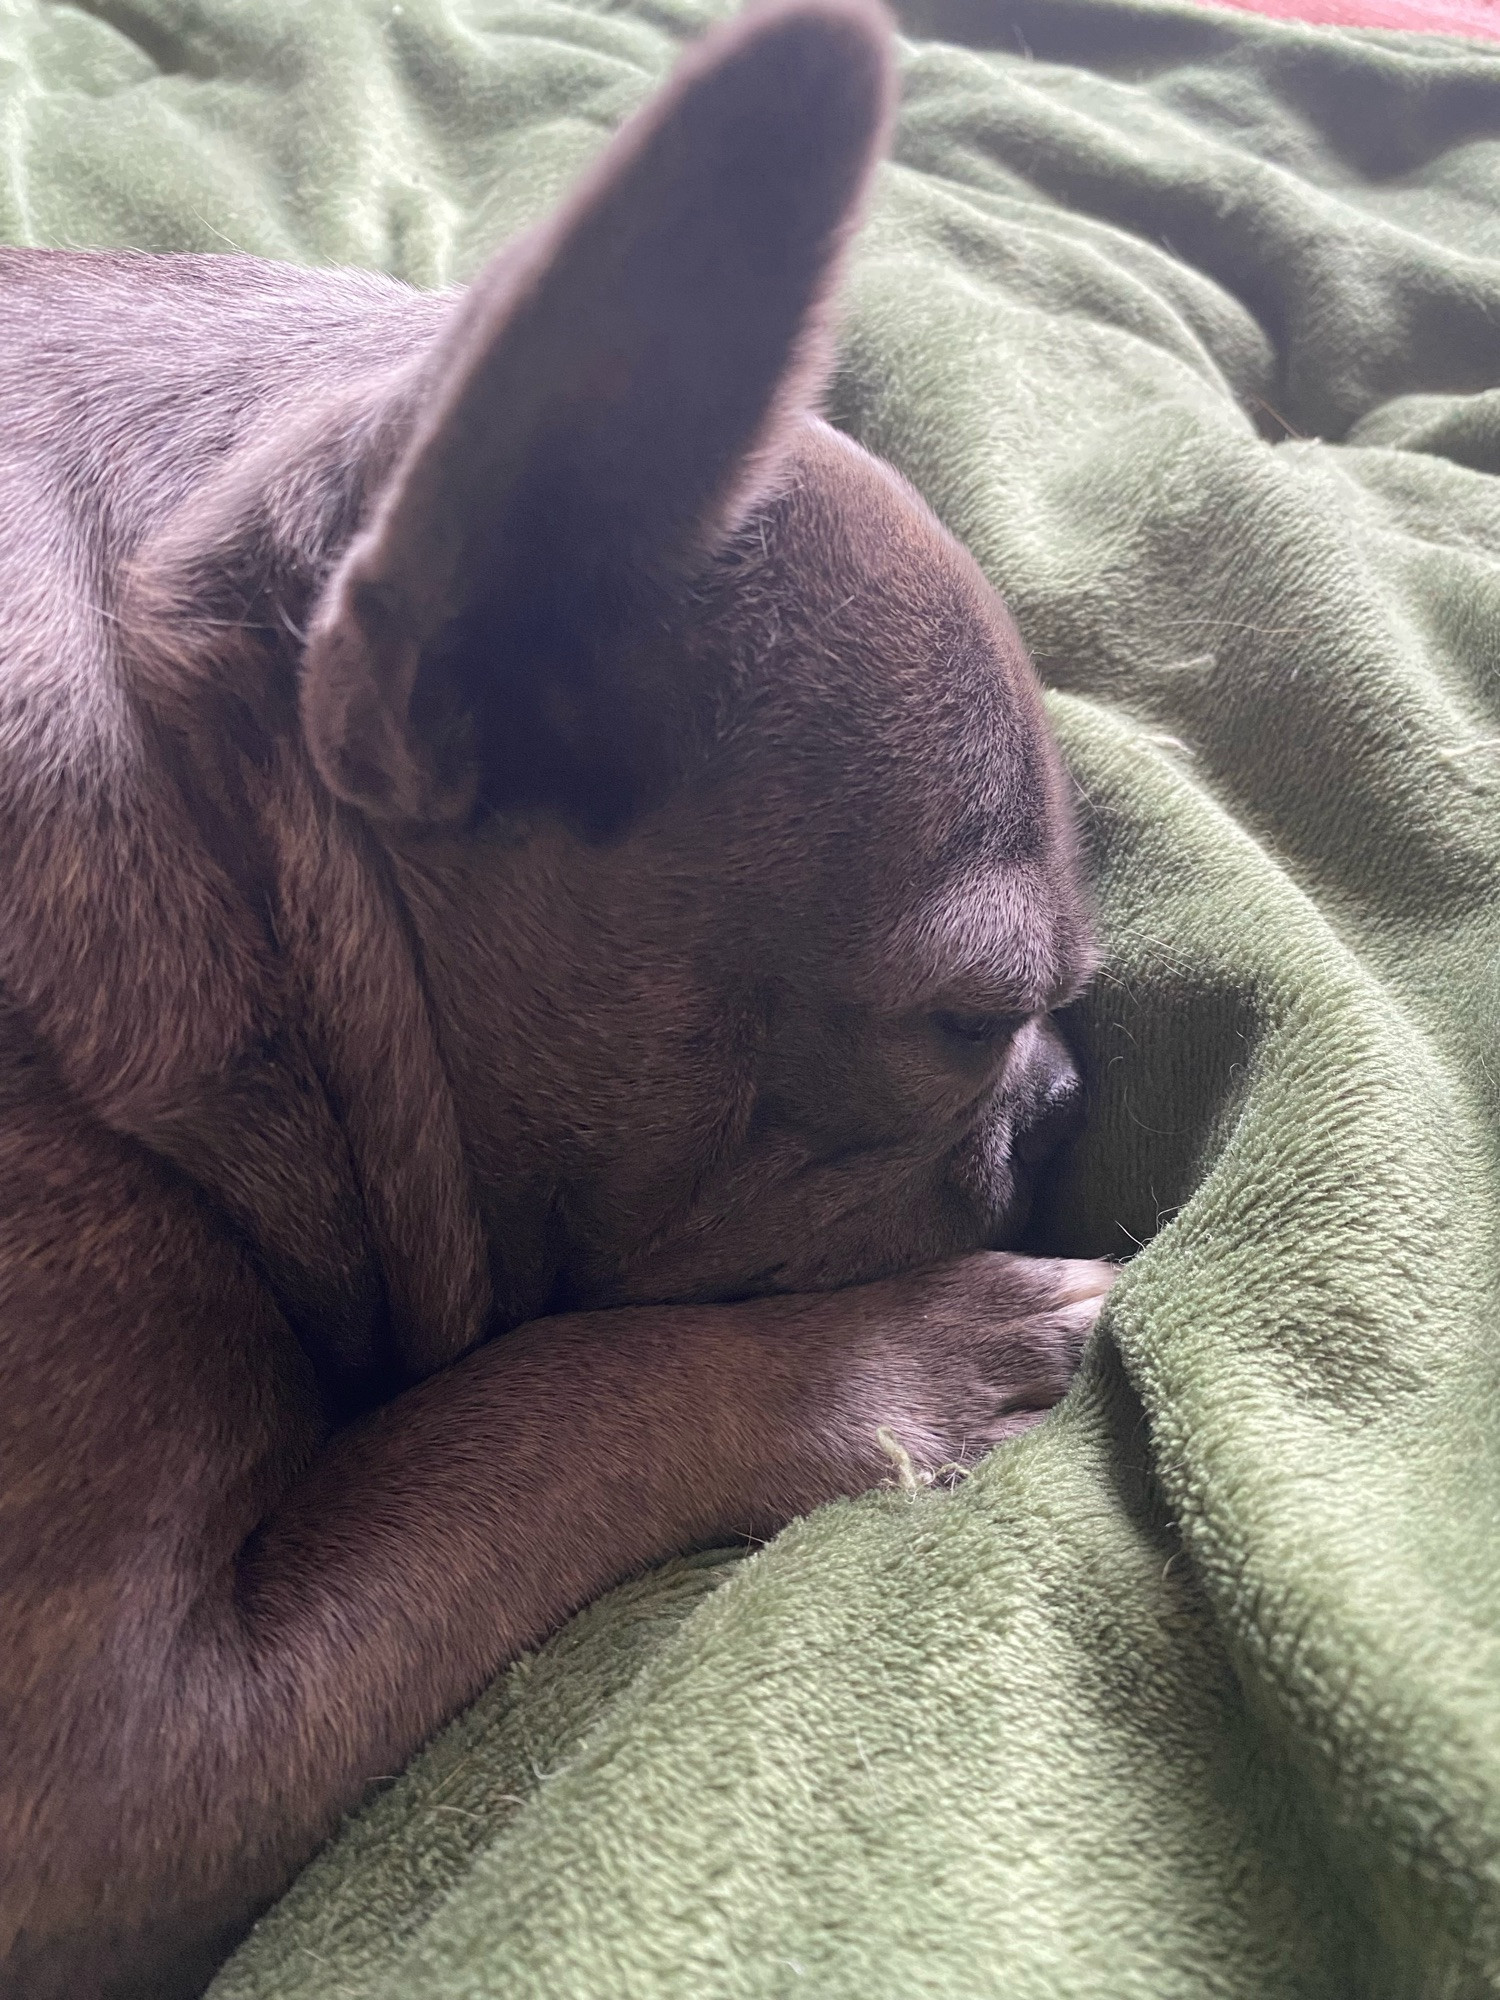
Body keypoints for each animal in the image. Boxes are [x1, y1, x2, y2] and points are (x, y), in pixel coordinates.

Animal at [0, 7, 1120, 1992]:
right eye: (970, 1022)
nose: (1068, 1092)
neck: (208, 806)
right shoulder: (117, 1753)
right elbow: (534, 1420)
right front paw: (906, 1355)